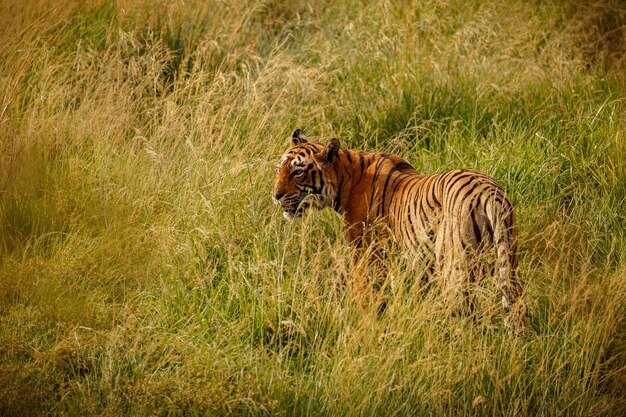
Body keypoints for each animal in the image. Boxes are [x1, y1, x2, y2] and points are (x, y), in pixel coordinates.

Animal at [272, 128, 528, 334]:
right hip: (509, 261)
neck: (344, 179)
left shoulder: (366, 257)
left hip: (455, 269)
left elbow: (365, 297)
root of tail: (488, 192)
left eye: (297, 172)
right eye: (279, 169)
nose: (275, 196)